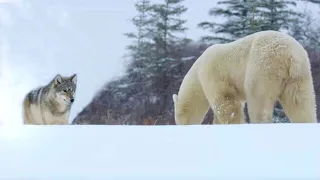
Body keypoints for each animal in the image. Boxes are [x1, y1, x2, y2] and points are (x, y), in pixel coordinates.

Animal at [172, 30, 316, 124]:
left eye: (179, 119)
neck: (197, 72)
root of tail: (290, 54)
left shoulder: (213, 74)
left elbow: (226, 103)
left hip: (263, 66)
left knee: (258, 100)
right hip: (300, 74)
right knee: (300, 103)